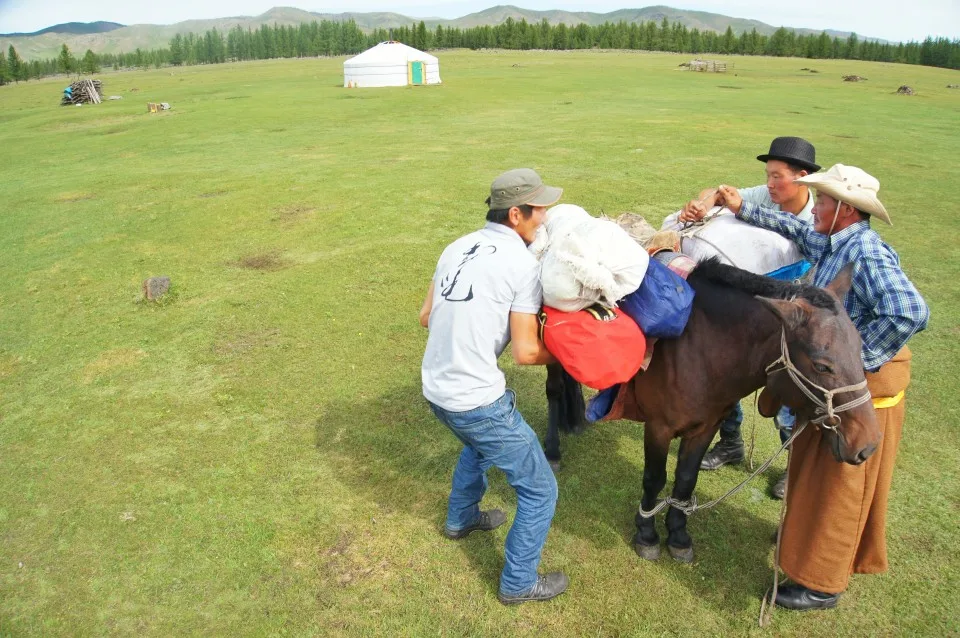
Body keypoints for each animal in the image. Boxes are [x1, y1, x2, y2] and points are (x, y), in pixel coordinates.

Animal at [544, 258, 880, 564]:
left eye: (860, 346)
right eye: (822, 365)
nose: (868, 445)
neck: (701, 346)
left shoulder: (707, 426)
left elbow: (685, 479)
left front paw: (678, 534)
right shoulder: (659, 427)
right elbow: (654, 478)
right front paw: (647, 533)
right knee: (554, 391)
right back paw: (552, 450)